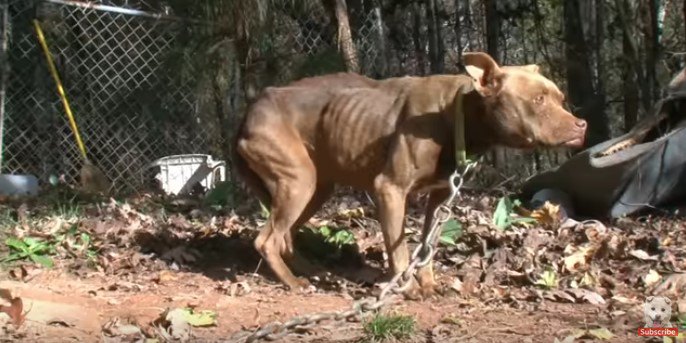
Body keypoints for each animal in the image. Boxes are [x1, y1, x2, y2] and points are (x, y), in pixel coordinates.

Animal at [234, 51, 588, 298]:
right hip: (299, 183)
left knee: (285, 236)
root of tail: (250, 110)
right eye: (538, 100)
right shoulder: (389, 190)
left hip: (317, 188)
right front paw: (406, 287)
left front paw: (427, 284)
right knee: (268, 239)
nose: (581, 125)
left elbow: (428, 245)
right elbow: (399, 248)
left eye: (560, 98)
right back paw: (293, 282)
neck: (457, 113)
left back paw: (309, 271)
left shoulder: (441, 196)